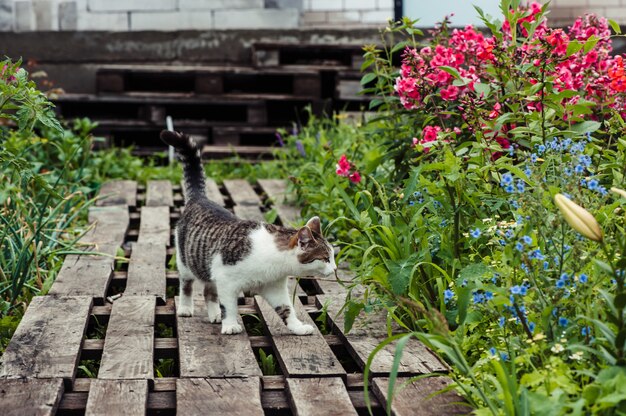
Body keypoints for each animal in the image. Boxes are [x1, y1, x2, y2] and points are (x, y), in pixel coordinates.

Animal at [161, 130, 336, 334]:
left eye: (332, 256)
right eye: (325, 258)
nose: (335, 268)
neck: (274, 262)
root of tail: (199, 198)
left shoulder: (274, 287)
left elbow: (287, 309)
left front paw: (297, 327)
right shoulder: (226, 280)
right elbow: (229, 305)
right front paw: (230, 324)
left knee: (208, 291)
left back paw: (214, 314)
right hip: (186, 261)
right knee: (186, 284)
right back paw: (186, 308)